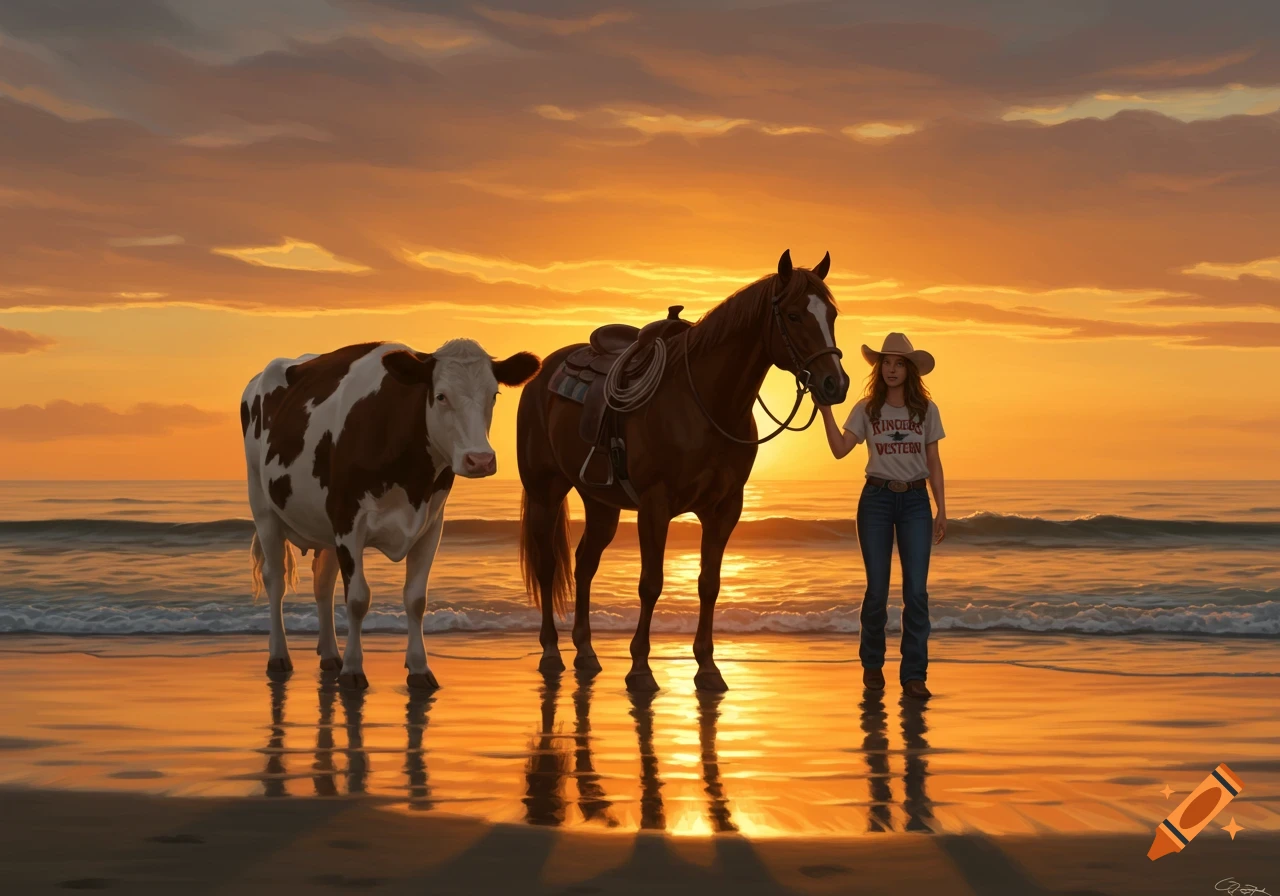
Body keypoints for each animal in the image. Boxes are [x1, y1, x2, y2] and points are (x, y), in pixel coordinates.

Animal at [240, 339, 541, 691]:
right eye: (441, 395)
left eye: (493, 394)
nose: (480, 460)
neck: (410, 478)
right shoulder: (348, 522)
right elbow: (357, 599)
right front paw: (353, 670)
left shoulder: (430, 526)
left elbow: (416, 599)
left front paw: (419, 668)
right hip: (263, 508)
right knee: (275, 579)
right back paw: (279, 656)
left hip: (323, 527)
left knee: (322, 583)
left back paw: (330, 655)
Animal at [516, 250, 849, 692]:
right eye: (794, 315)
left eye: (831, 314)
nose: (835, 384)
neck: (705, 403)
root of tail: (542, 374)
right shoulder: (655, 506)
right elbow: (651, 584)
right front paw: (640, 668)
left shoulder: (724, 508)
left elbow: (709, 584)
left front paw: (708, 667)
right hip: (545, 492)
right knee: (548, 566)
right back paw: (551, 651)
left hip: (601, 503)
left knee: (585, 562)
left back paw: (586, 651)